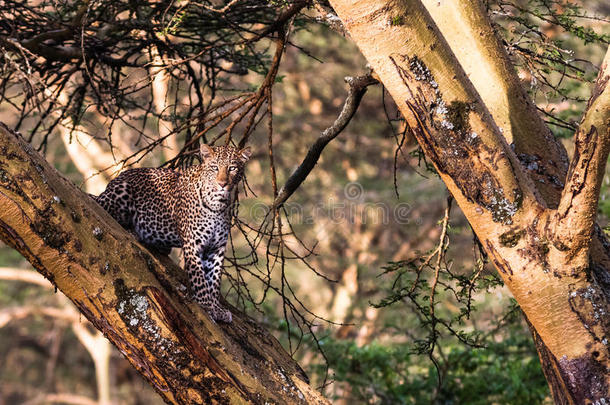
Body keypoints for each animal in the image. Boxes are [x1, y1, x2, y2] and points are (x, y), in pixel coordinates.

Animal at [92, 144, 249, 322]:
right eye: (214, 167)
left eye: (232, 168)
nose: (222, 184)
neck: (218, 203)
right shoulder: (192, 243)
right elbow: (200, 279)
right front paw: (206, 306)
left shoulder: (216, 248)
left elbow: (214, 280)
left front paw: (217, 308)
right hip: (121, 192)